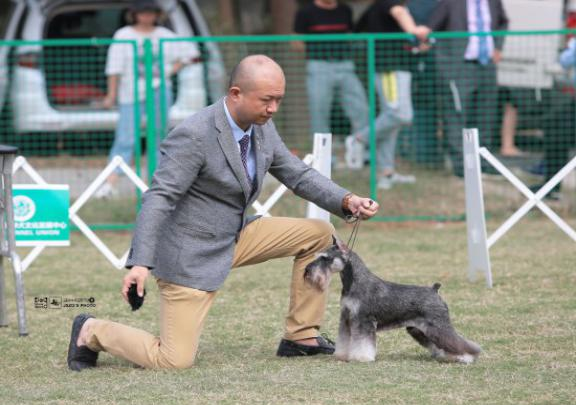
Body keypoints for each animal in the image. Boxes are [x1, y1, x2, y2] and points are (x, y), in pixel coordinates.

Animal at [304, 243, 480, 362]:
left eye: (325, 258)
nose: (307, 270)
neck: (353, 282)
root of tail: (434, 290)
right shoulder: (346, 319)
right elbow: (344, 339)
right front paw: (342, 355)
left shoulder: (363, 321)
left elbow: (362, 342)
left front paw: (362, 357)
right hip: (419, 330)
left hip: (438, 326)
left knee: (457, 341)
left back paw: (466, 357)